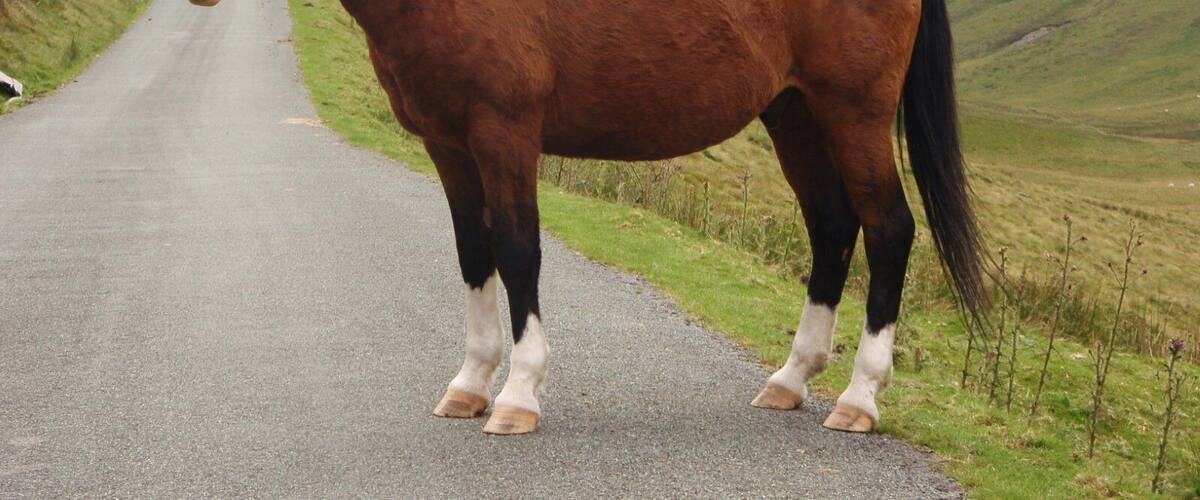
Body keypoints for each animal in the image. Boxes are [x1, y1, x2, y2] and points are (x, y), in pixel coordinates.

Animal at [190, 0, 986, 436]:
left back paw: (858, 397)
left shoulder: (504, 133)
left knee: (889, 230)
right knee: (831, 228)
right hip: (792, 111)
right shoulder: (449, 144)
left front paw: (518, 394)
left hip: (852, 111)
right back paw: (791, 380)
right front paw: (471, 384)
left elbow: (518, 253)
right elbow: (473, 255)